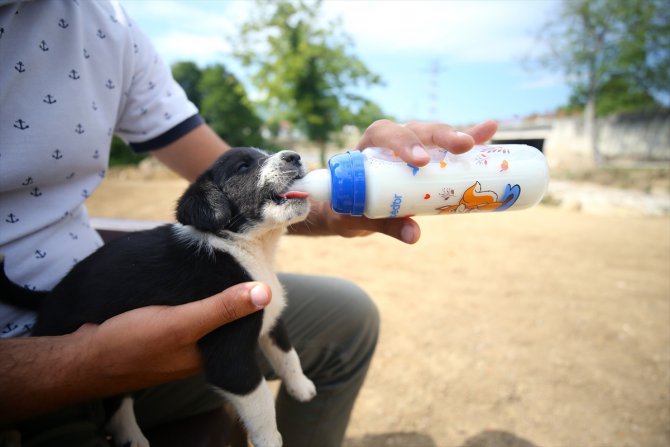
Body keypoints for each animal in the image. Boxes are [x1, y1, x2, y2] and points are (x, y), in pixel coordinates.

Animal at [0, 148, 318, 447]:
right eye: (242, 167)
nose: (295, 156)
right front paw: (272, 440)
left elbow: (287, 354)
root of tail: (48, 298)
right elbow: (260, 400)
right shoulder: (229, 356)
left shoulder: (271, 314)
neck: (243, 247)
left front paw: (302, 387)